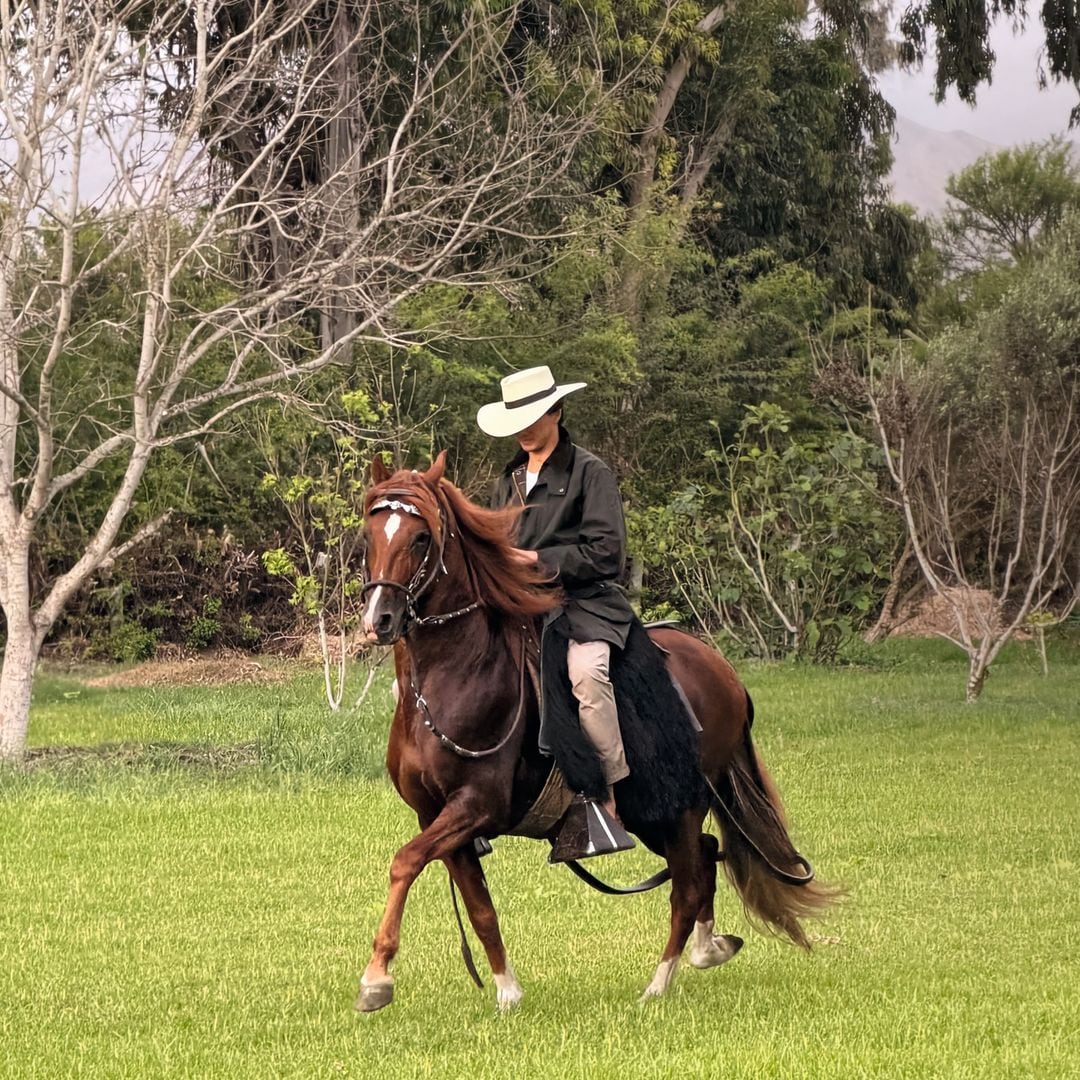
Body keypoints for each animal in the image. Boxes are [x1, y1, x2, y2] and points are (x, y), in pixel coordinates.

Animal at [355, 452, 837, 1012]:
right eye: (369, 536)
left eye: (420, 538)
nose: (380, 619)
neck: (458, 675)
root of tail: (724, 671)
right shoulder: (438, 817)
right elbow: (479, 907)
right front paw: (508, 992)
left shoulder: (474, 806)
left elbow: (405, 862)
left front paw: (376, 978)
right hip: (650, 812)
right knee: (706, 855)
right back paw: (708, 947)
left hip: (680, 803)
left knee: (688, 884)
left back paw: (659, 983)